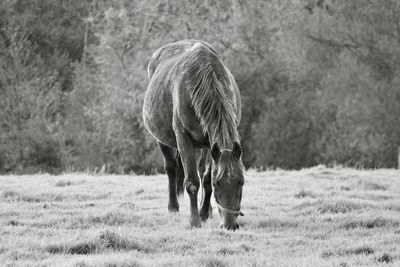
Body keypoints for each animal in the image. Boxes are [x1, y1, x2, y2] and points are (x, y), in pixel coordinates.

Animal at [144, 39, 244, 230]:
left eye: (241, 182)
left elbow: (205, 179)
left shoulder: (212, 145)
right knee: (171, 168)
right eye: (218, 183)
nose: (230, 225)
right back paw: (173, 207)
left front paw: (204, 213)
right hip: (163, 140)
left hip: (205, 145)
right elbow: (192, 182)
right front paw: (195, 220)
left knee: (201, 169)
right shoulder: (184, 139)